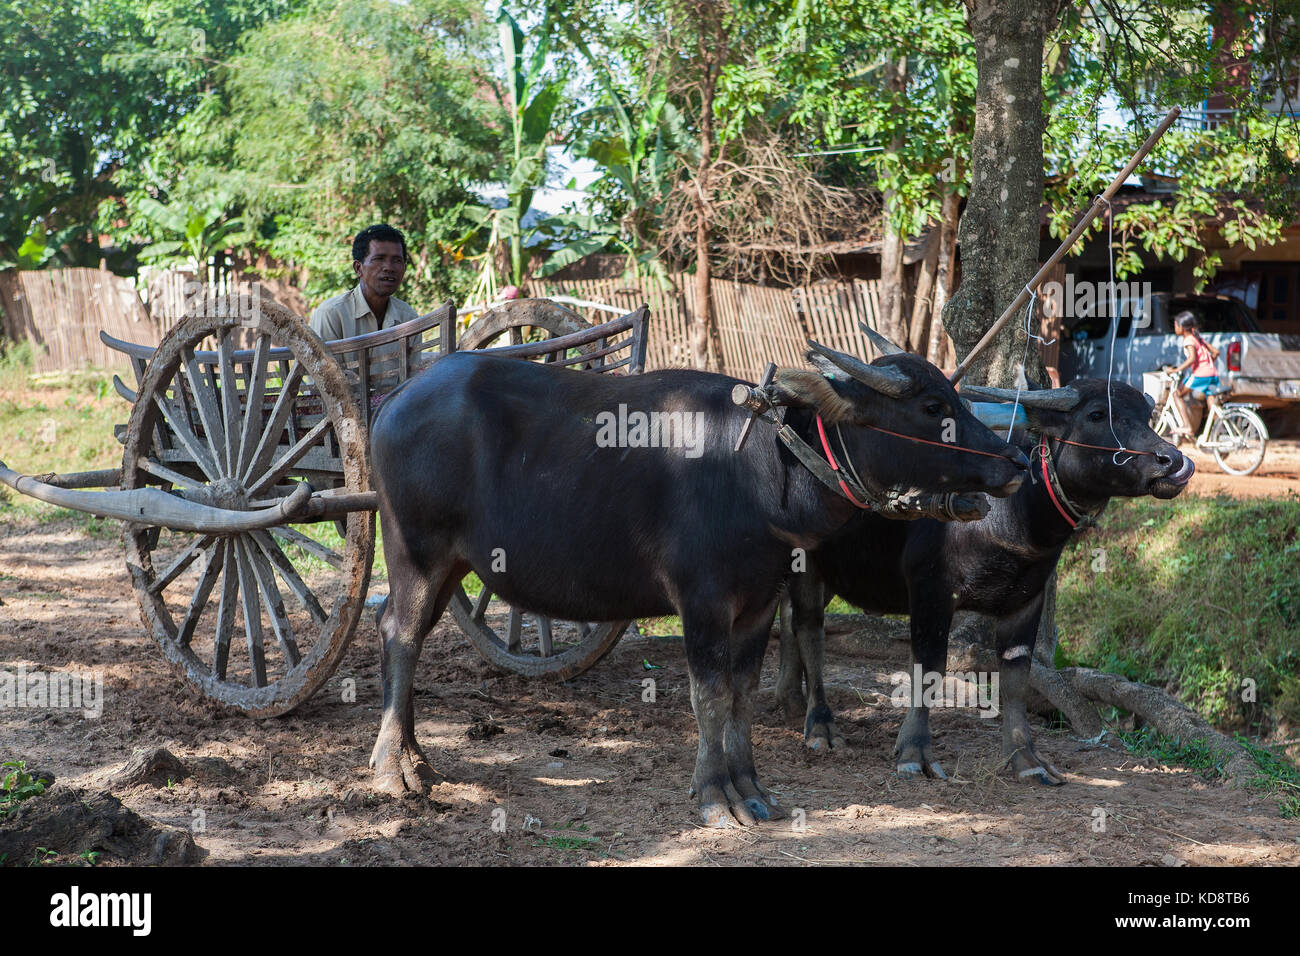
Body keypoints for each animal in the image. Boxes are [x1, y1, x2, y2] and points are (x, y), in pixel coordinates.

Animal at [366, 345, 1024, 832]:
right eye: (933, 404)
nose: (1015, 459)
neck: (763, 467)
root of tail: (395, 397)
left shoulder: (760, 602)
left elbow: (742, 694)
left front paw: (752, 789)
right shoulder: (702, 601)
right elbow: (708, 694)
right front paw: (715, 795)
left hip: (452, 563)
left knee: (407, 632)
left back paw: (415, 755)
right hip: (413, 549)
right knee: (400, 632)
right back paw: (393, 768)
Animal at [774, 374, 1190, 785]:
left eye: (1147, 416)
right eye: (1098, 414)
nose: (1173, 462)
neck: (1011, 521)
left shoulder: (1028, 601)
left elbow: (1016, 677)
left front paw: (1026, 758)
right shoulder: (931, 591)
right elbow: (930, 667)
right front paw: (914, 752)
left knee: (788, 617)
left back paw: (791, 700)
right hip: (806, 562)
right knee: (810, 629)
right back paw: (820, 725)